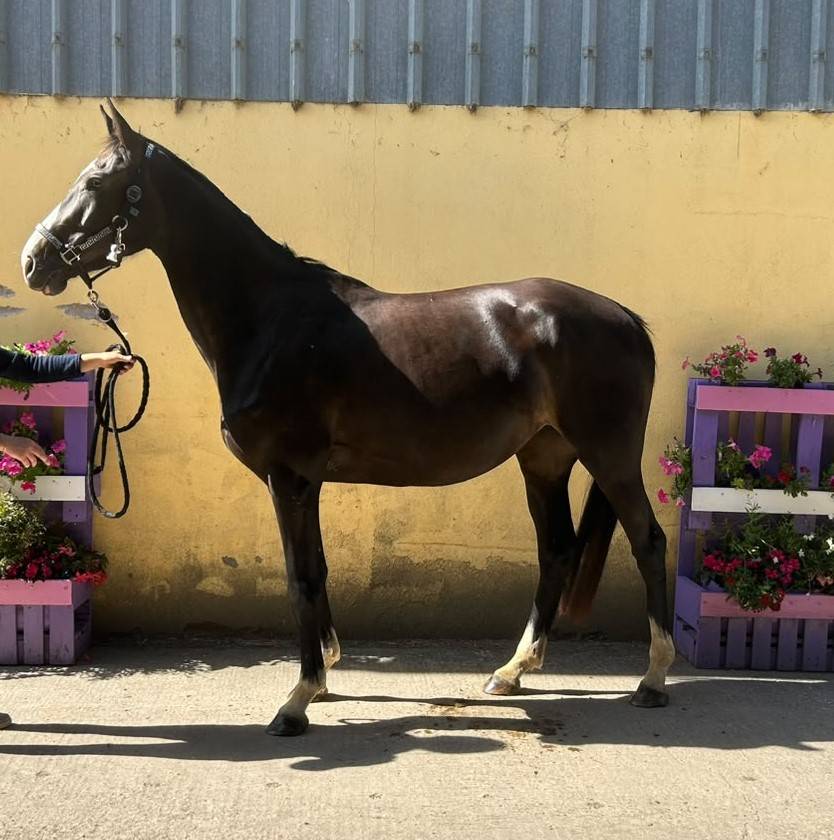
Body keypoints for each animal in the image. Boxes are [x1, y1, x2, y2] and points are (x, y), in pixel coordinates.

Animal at [20, 100, 675, 736]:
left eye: (96, 181)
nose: (33, 262)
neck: (269, 320)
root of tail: (626, 318)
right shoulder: (304, 481)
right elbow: (320, 568)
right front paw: (326, 673)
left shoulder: (290, 477)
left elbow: (301, 577)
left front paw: (298, 699)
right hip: (544, 456)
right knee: (557, 549)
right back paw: (512, 672)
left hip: (608, 454)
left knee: (648, 540)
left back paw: (652, 680)